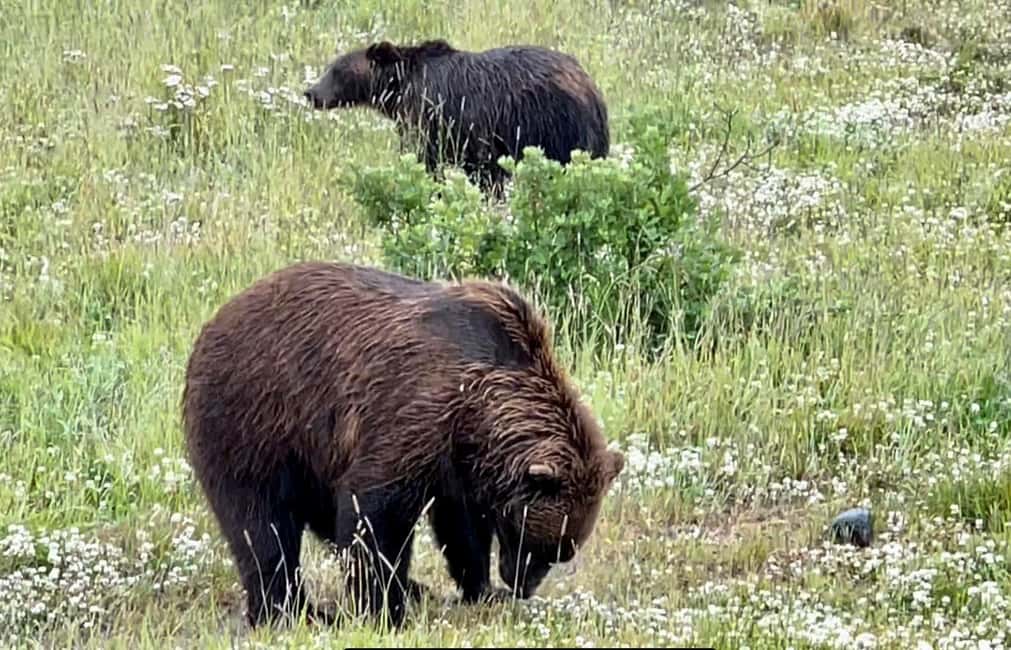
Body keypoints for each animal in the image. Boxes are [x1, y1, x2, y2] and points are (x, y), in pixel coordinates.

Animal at [181, 261, 624, 629]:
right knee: (261, 525)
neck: (480, 410)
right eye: (534, 541)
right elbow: (374, 511)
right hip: (255, 421)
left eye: (560, 551)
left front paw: (479, 589)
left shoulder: (461, 462)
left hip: (312, 456)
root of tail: (214, 321)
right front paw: (385, 612)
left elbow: (461, 526)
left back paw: (408, 589)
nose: (521, 585)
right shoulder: (414, 413)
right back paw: (289, 610)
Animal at [303, 39, 610, 196]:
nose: (310, 92)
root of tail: (589, 86)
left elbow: (425, 159)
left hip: (553, 124)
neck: (400, 89)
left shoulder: (435, 116)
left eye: (337, 70)